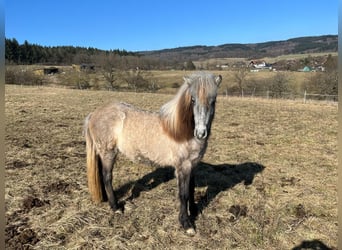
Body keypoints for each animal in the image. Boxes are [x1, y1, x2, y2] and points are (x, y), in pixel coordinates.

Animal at [84, 71, 220, 234]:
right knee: (107, 177)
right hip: (108, 153)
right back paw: (115, 207)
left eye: (213, 100)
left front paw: (194, 211)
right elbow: (184, 194)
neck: (181, 131)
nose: (201, 133)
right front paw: (186, 223)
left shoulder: (193, 165)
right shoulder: (183, 167)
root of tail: (93, 114)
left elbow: (191, 189)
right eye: (192, 100)